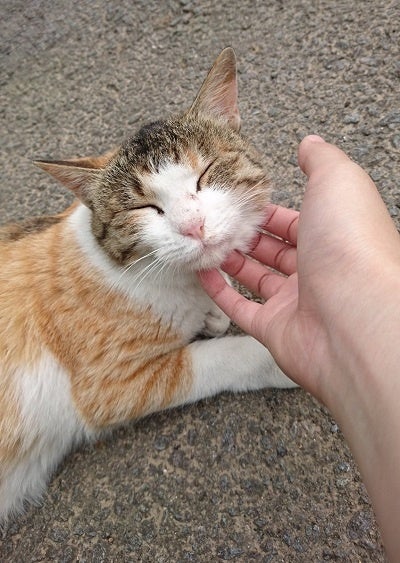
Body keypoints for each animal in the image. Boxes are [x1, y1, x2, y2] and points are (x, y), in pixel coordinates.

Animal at [0, 48, 295, 522]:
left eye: (206, 173)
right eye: (144, 208)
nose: (193, 226)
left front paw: (213, 311)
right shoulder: (108, 387)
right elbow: (221, 358)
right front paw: (276, 355)